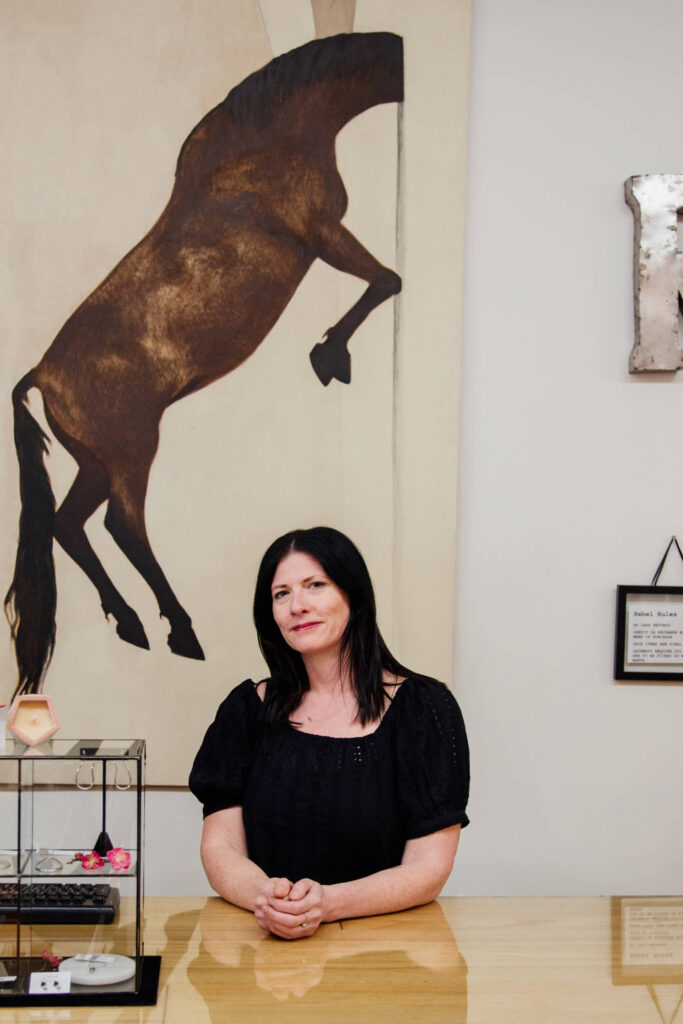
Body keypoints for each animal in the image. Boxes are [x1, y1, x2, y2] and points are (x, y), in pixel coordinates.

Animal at [5, 36, 403, 700]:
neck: (271, 137)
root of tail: (40, 374)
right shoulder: (321, 232)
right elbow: (388, 279)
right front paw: (329, 357)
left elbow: (385, 280)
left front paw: (330, 356)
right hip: (132, 452)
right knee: (122, 525)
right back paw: (181, 632)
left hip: (96, 463)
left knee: (68, 525)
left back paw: (132, 624)